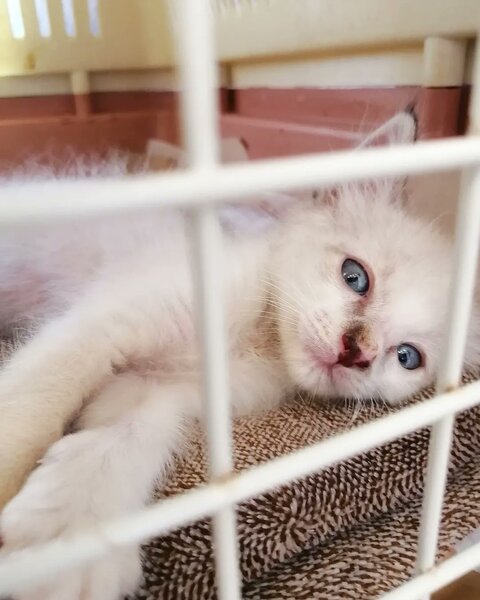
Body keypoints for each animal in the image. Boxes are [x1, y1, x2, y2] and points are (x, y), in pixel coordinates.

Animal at [0, 111, 478, 600]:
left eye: (407, 357)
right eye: (355, 276)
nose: (356, 351)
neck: (258, 342)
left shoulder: (151, 389)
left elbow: (121, 440)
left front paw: (66, 546)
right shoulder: (105, 324)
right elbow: (32, 403)